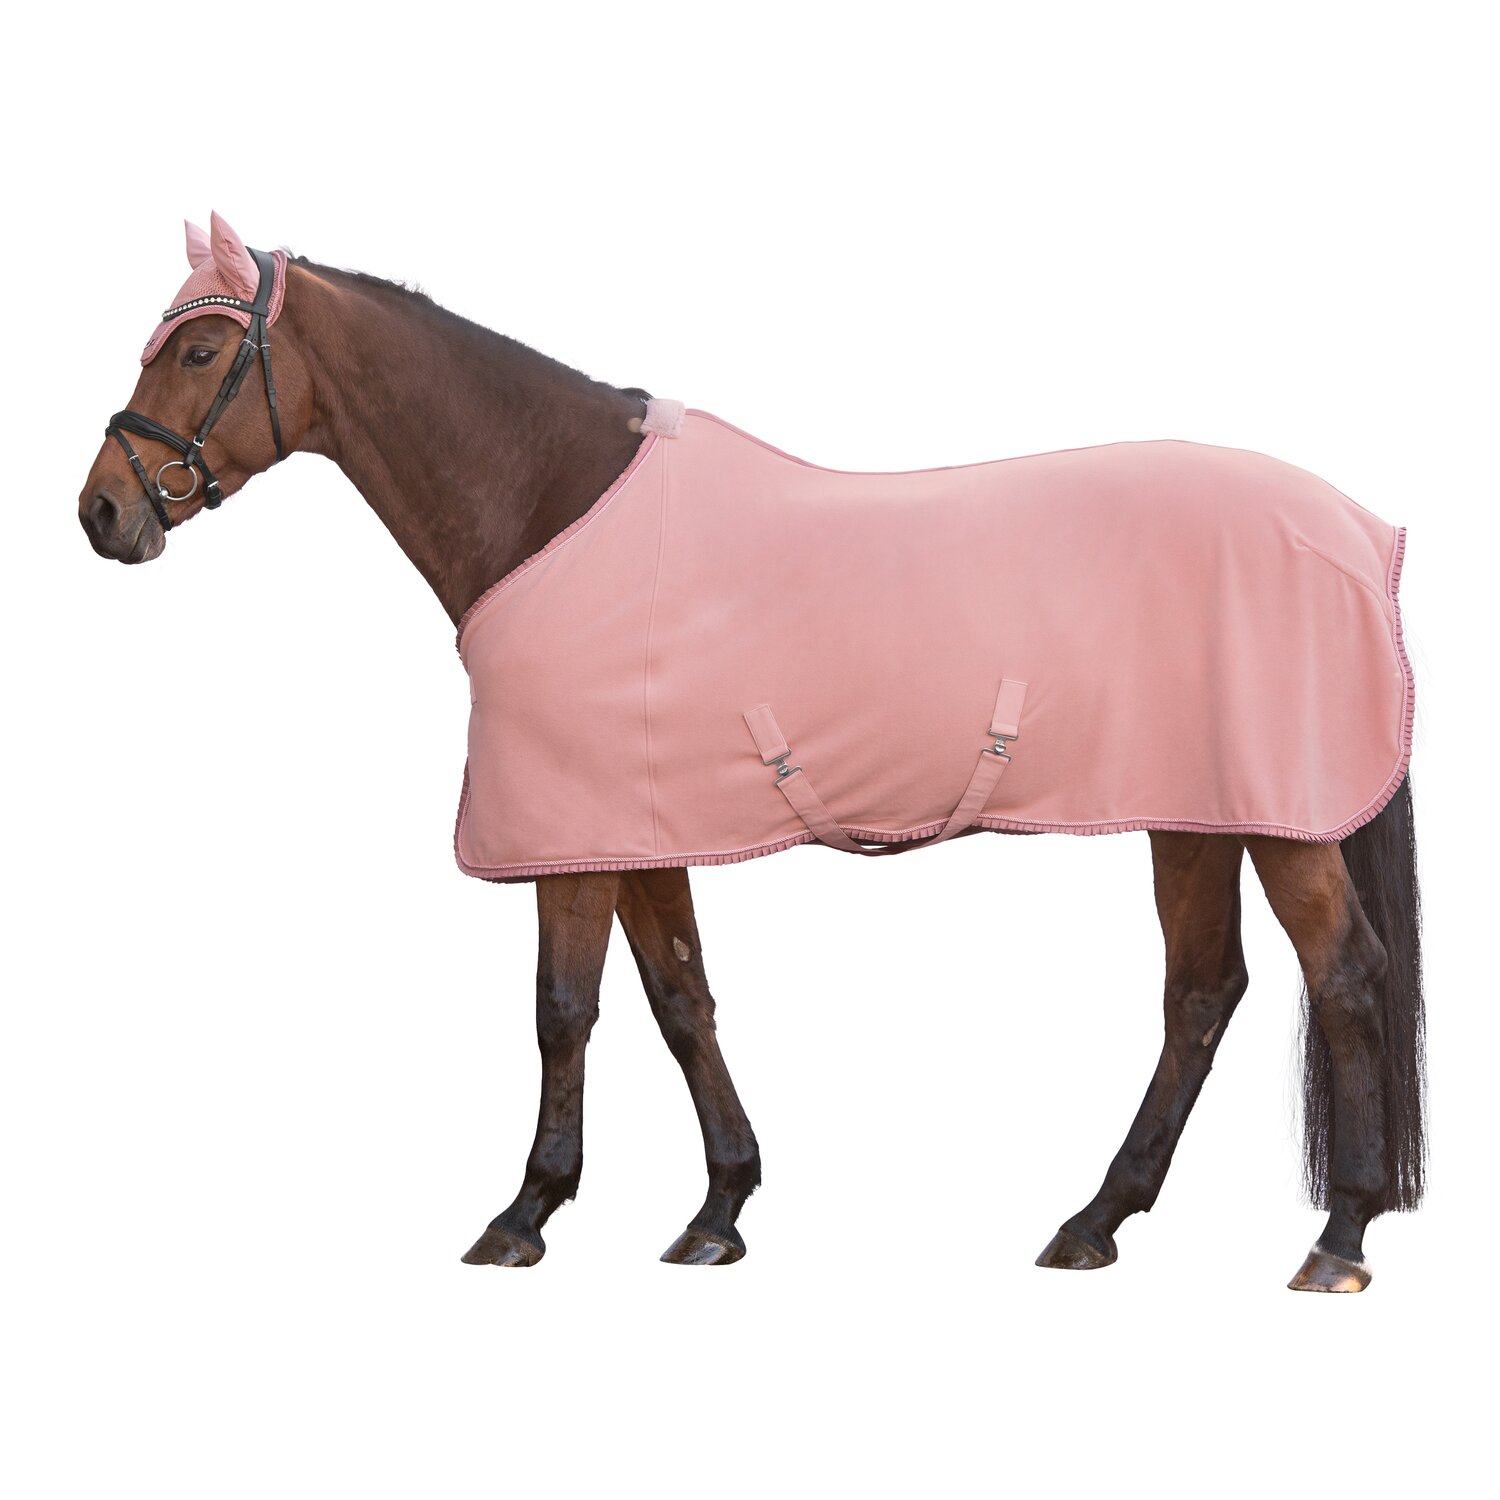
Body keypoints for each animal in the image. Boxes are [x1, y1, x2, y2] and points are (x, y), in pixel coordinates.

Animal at [77, 214, 1424, 1290]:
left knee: (1346, 978)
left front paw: (526, 1214)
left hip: (1275, 823)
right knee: (1202, 994)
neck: (553, 504)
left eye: (199, 351)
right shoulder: (636, 825)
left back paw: (1339, 1238)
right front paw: (719, 1208)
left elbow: (563, 1009)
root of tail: (1362, 534)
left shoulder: (571, 835)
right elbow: (681, 999)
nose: (101, 510)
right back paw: (1095, 1221)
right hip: (1192, 814)